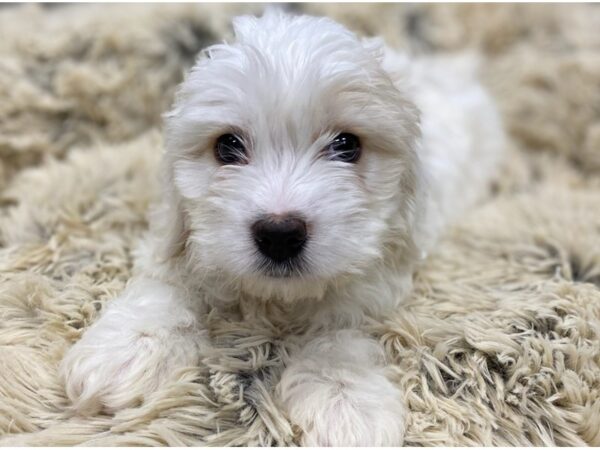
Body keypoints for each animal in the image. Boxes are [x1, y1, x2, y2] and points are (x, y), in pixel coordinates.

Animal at [61, 10, 504, 446]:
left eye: (347, 145)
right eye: (227, 146)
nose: (279, 234)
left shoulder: (378, 273)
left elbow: (339, 330)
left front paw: (346, 401)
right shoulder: (178, 234)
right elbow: (168, 284)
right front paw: (126, 348)